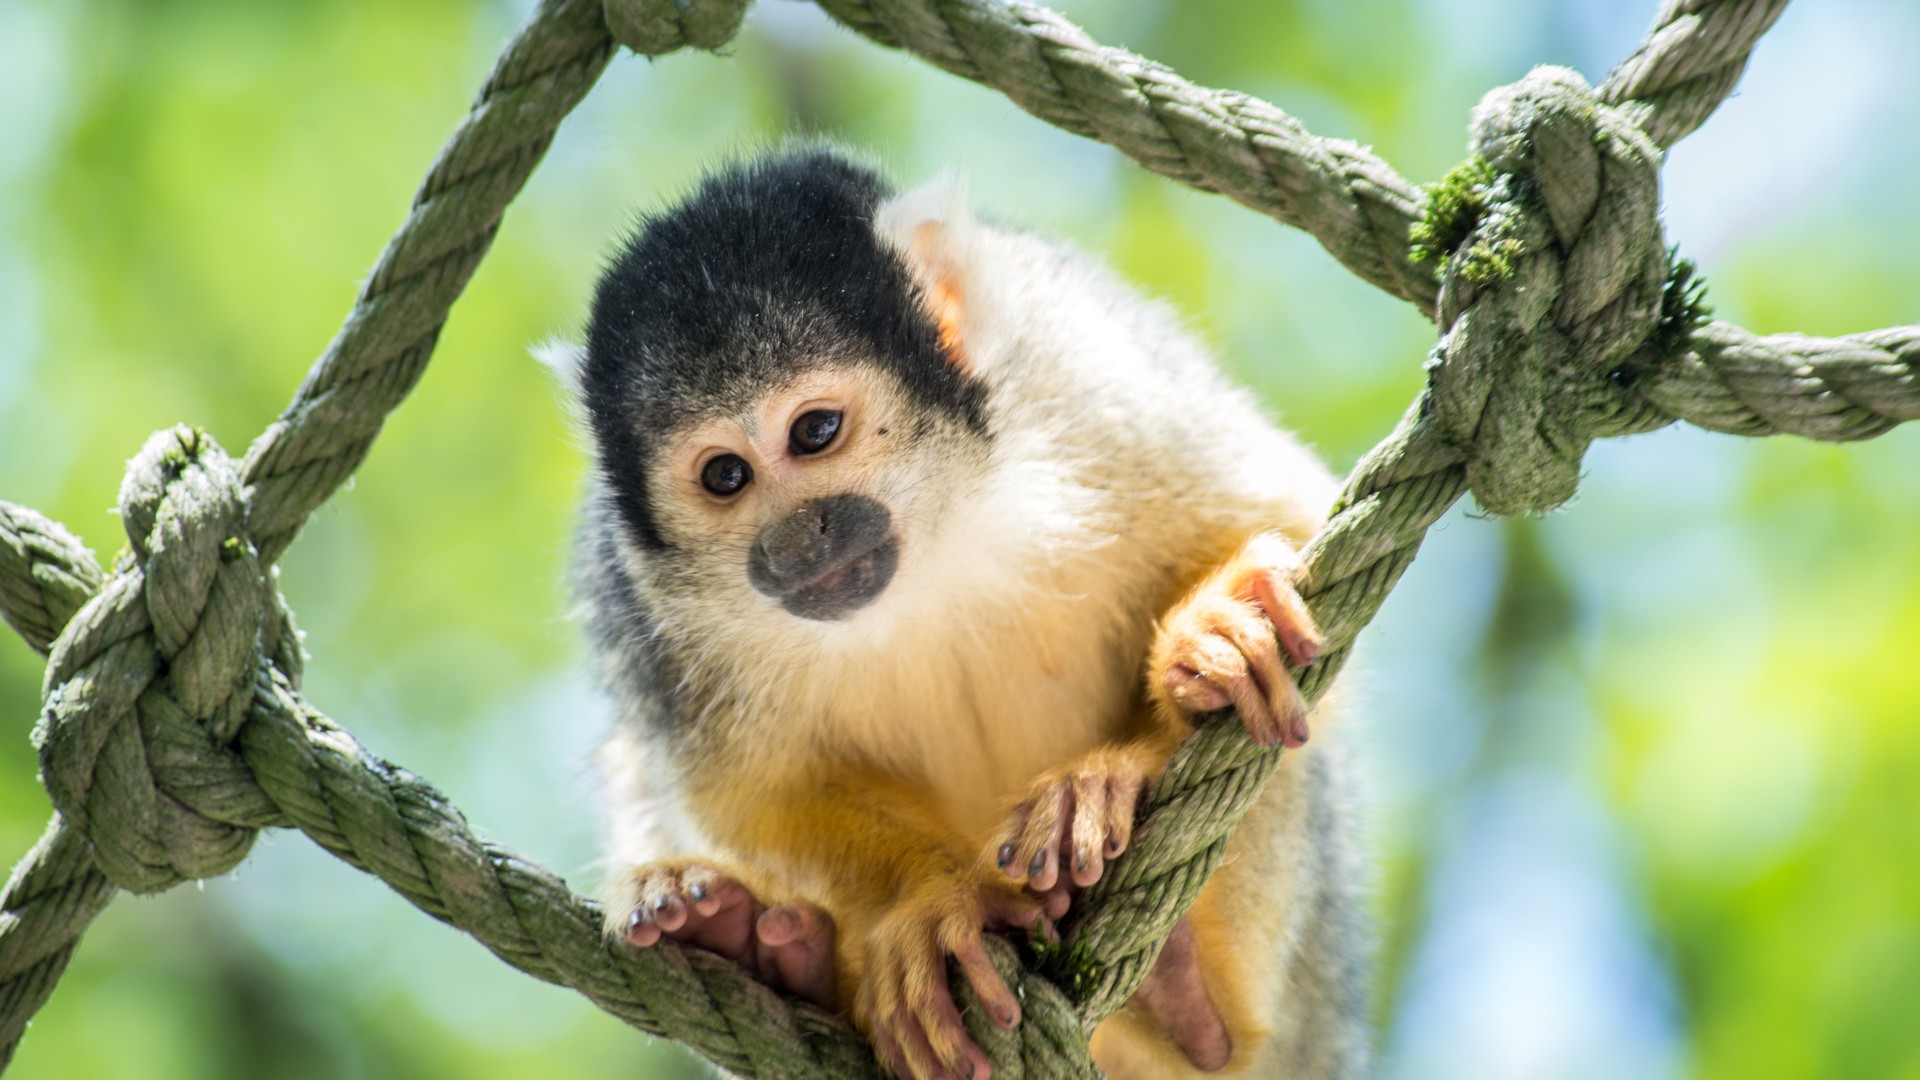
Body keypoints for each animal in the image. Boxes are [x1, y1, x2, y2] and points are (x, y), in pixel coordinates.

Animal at [549, 145, 1374, 1076]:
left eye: (815, 430)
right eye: (725, 475)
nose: (800, 539)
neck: (933, 532)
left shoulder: (1082, 370)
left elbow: (1277, 511)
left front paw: (1150, 717)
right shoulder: (643, 595)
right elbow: (750, 791)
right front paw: (932, 902)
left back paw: (1194, 1006)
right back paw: (763, 948)